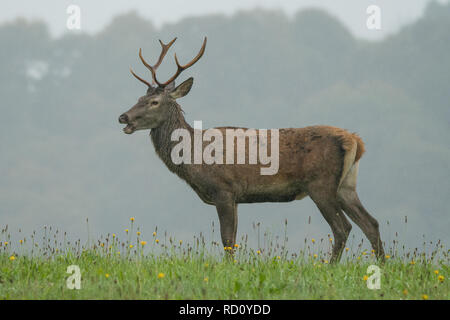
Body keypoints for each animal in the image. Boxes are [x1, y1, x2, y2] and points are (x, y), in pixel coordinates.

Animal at [118, 37, 384, 262]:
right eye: (139, 98)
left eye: (154, 102)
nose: (123, 117)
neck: (194, 158)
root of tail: (355, 141)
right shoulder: (236, 196)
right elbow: (233, 238)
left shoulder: (224, 189)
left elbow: (227, 239)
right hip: (346, 185)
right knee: (371, 223)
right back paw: (383, 266)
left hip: (321, 184)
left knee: (342, 228)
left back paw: (331, 268)